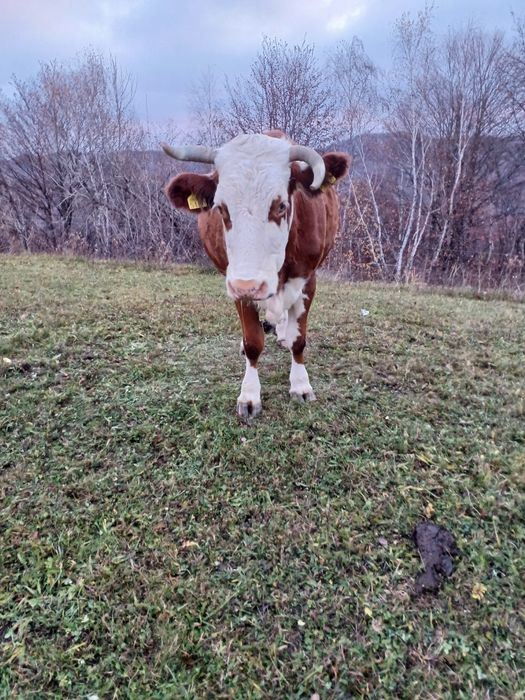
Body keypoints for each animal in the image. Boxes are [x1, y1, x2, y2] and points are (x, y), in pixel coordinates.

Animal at [162, 131, 349, 418]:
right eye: (221, 208)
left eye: (281, 206)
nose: (248, 285)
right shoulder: (239, 288)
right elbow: (253, 342)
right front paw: (249, 395)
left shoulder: (308, 280)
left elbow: (299, 340)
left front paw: (301, 385)